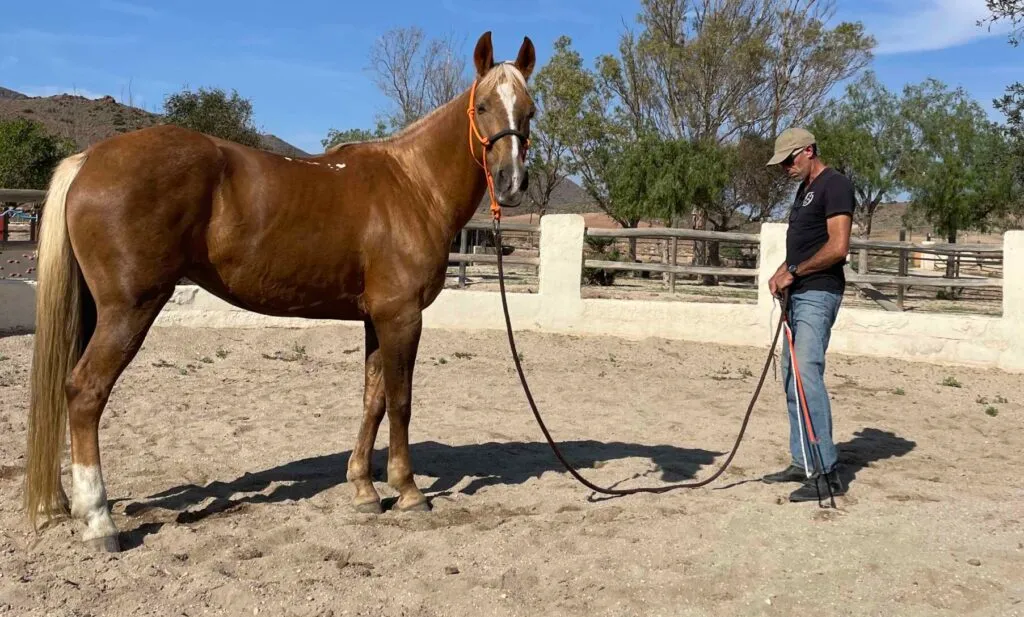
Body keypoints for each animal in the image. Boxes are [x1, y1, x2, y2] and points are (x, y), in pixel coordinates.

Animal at [23, 31, 537, 552]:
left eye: (530, 110)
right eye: (484, 106)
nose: (513, 183)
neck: (412, 185)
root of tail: (90, 159)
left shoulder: (377, 318)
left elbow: (372, 399)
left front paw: (364, 489)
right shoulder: (402, 316)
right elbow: (401, 401)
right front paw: (409, 492)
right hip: (130, 309)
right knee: (85, 391)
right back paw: (99, 520)